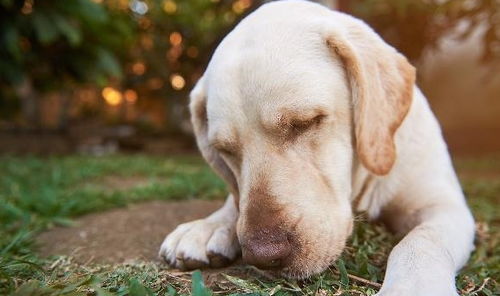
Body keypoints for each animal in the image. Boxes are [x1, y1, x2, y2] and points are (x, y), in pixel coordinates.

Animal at [160, 1, 476, 294]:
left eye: (305, 122)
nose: (263, 256)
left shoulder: (444, 206)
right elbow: (236, 201)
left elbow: (420, 241)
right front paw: (210, 225)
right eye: (226, 150)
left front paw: (411, 286)